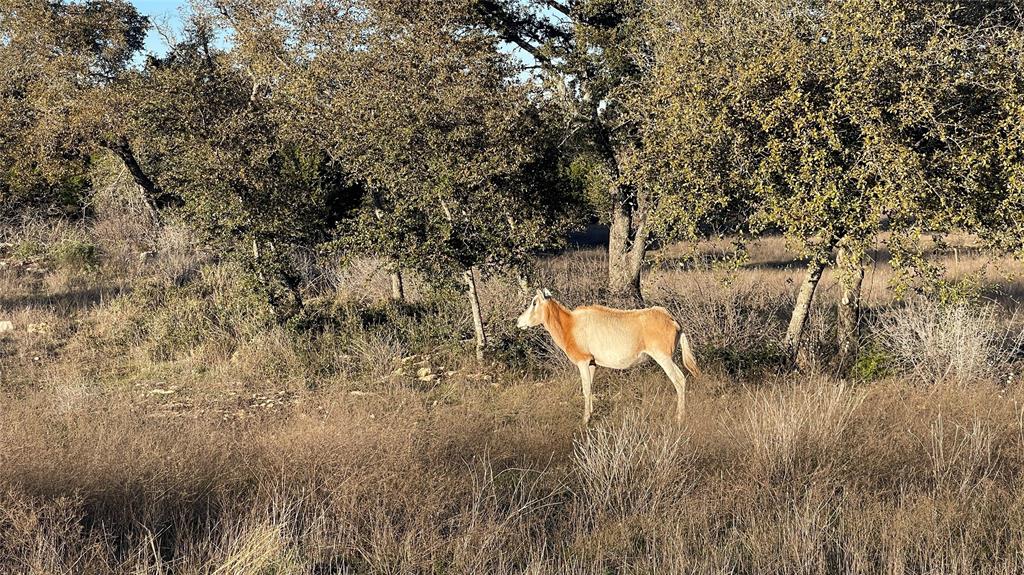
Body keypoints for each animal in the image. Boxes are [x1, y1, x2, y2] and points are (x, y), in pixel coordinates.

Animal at [516, 288, 700, 423]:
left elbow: (585, 389)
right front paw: (590, 414)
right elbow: (590, 388)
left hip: (663, 358)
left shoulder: (583, 362)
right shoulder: (591, 363)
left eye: (534, 302)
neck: (570, 323)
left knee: (679, 380)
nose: (518, 322)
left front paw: (585, 420)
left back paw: (679, 417)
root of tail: (672, 320)